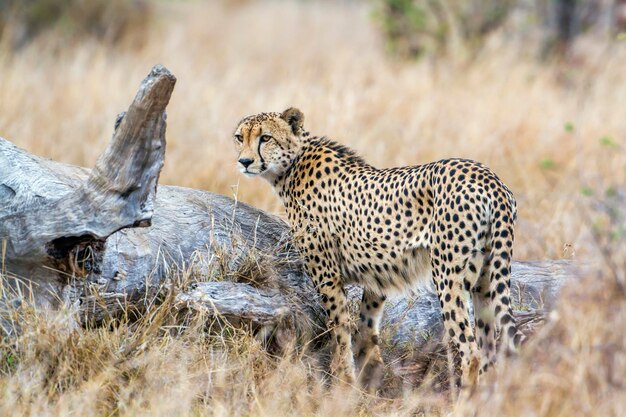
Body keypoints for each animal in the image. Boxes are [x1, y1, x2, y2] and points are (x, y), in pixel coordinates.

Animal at [232, 109, 520, 388]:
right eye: (239, 137)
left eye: (265, 138)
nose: (244, 162)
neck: (291, 167)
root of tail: (487, 176)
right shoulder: (377, 278)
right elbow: (365, 331)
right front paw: (372, 378)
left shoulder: (328, 277)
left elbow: (341, 330)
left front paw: (345, 381)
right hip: (485, 280)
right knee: (489, 352)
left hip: (448, 276)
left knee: (471, 352)